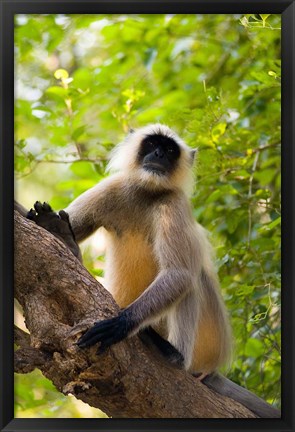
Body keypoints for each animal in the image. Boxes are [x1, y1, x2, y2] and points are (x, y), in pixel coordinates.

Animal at [26, 124, 232, 374]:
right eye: (152, 144)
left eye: (170, 150)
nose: (159, 155)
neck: (146, 192)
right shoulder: (112, 186)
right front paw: (57, 230)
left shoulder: (175, 204)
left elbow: (179, 273)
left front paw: (120, 324)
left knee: (191, 278)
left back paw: (176, 355)